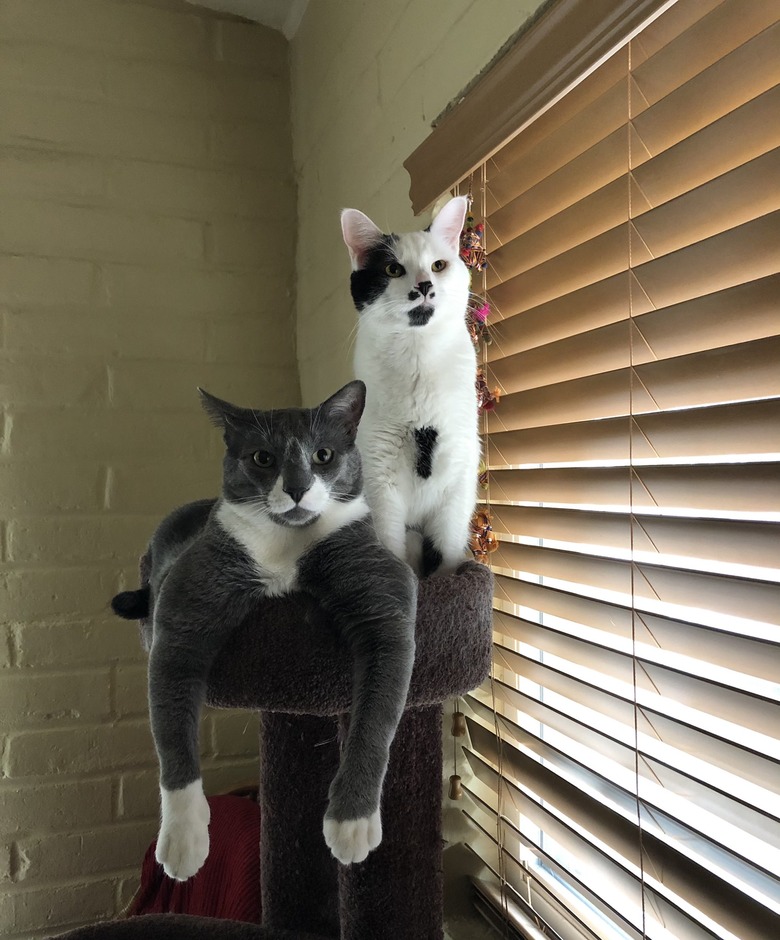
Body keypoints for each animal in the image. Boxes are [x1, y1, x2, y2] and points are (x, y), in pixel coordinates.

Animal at [110, 382, 418, 880]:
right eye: (262, 458)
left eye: (323, 454)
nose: (296, 487)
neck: (285, 546)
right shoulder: (182, 612)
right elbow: (171, 731)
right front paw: (182, 839)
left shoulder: (383, 599)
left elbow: (377, 718)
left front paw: (351, 823)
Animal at [342, 197, 482, 576]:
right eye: (392, 269)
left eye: (438, 265)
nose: (423, 285)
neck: (418, 359)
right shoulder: (379, 476)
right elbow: (390, 545)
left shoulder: (458, 471)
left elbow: (447, 550)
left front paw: (448, 579)